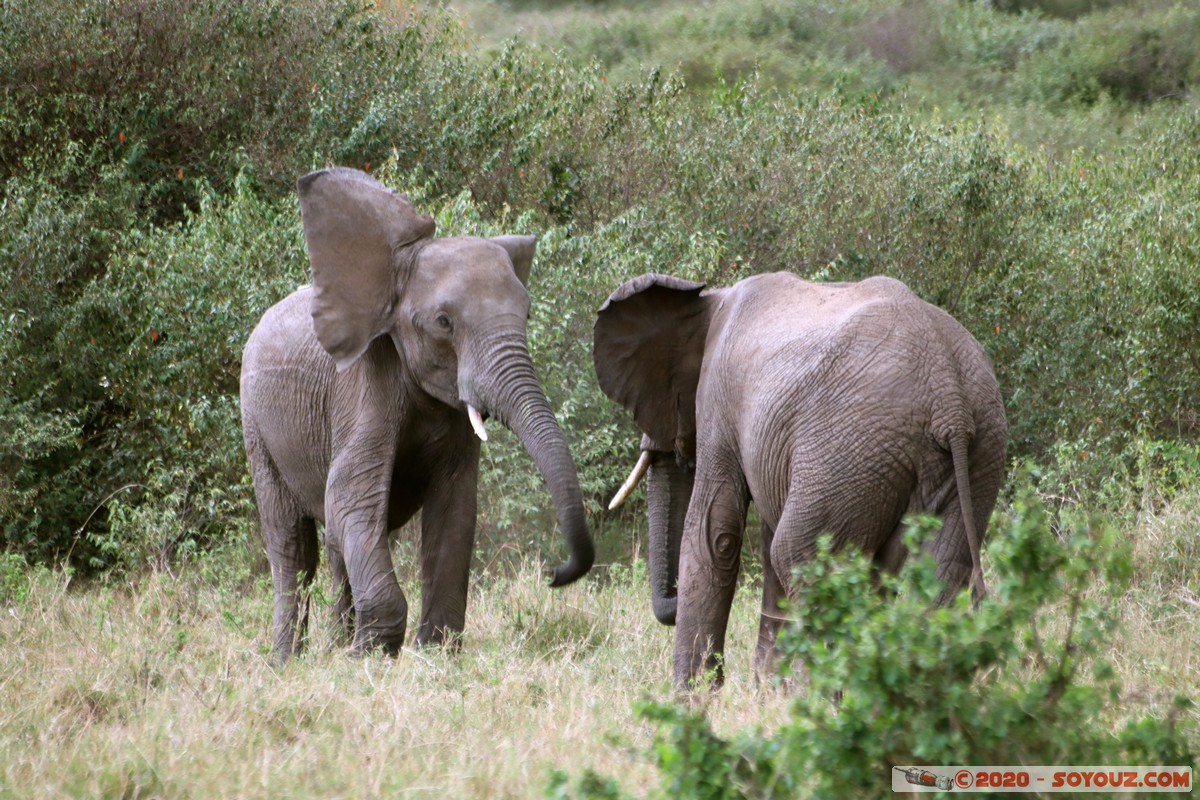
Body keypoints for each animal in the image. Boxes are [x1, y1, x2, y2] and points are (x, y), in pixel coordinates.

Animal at [242, 167, 595, 662]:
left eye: (526, 313)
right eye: (443, 322)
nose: (554, 573)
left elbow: (455, 510)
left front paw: (433, 655)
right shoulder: (363, 384)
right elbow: (349, 498)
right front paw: (369, 656)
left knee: (335, 546)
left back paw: (333, 646)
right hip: (255, 423)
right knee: (293, 543)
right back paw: (288, 662)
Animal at [595, 272, 1008, 686]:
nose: (672, 599)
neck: (709, 299)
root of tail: (949, 396)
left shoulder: (719, 403)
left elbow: (714, 535)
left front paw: (691, 697)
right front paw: (765, 690)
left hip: (848, 449)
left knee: (799, 554)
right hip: (977, 451)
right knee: (940, 574)